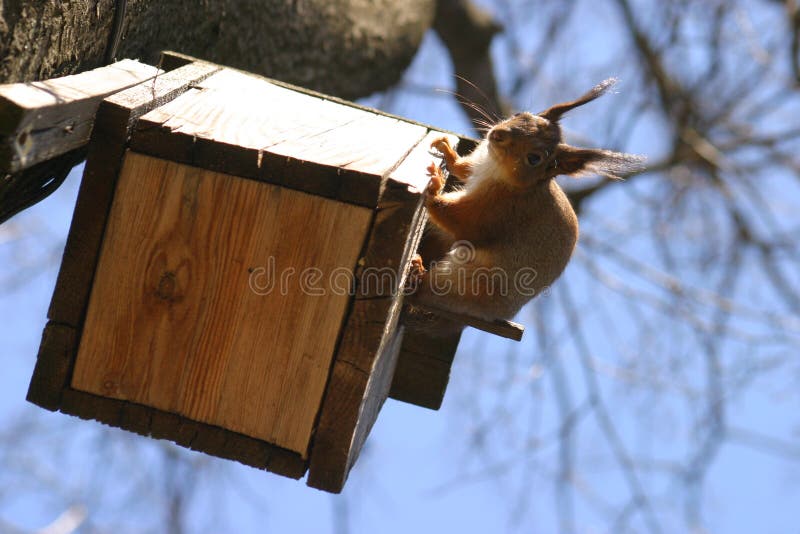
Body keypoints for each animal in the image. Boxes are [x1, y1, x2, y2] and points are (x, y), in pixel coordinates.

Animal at [406, 78, 644, 329]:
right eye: (520, 114)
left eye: (534, 158)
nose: (497, 134)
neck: (496, 169)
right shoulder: (478, 166)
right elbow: (463, 169)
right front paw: (446, 149)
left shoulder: (500, 213)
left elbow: (461, 221)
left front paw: (434, 187)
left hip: (468, 280)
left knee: (426, 292)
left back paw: (417, 273)